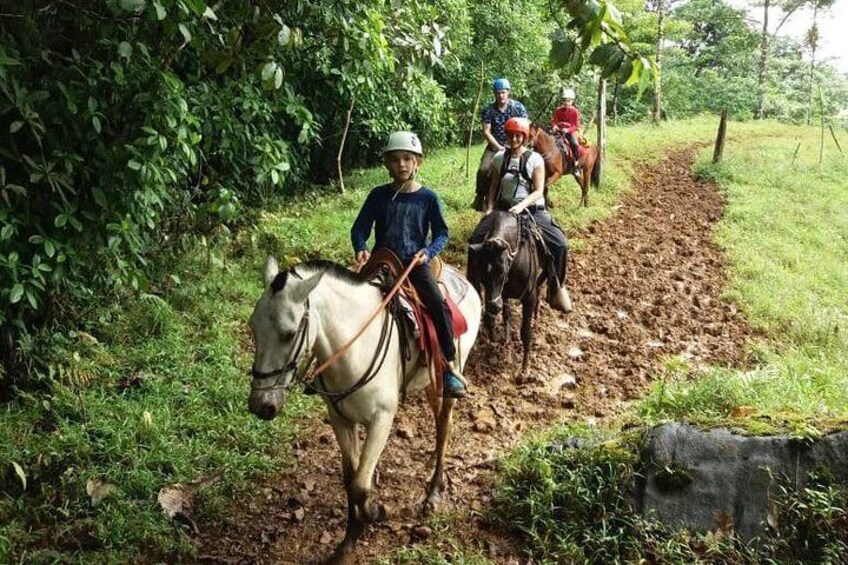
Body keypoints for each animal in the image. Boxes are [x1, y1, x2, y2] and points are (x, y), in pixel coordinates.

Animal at [248, 256, 480, 564]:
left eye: (289, 334)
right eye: (253, 326)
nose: (261, 405)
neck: (355, 348)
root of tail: (464, 280)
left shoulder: (381, 420)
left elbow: (361, 484)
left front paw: (375, 512)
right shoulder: (340, 419)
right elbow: (351, 480)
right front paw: (347, 542)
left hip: (447, 375)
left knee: (444, 425)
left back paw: (434, 491)